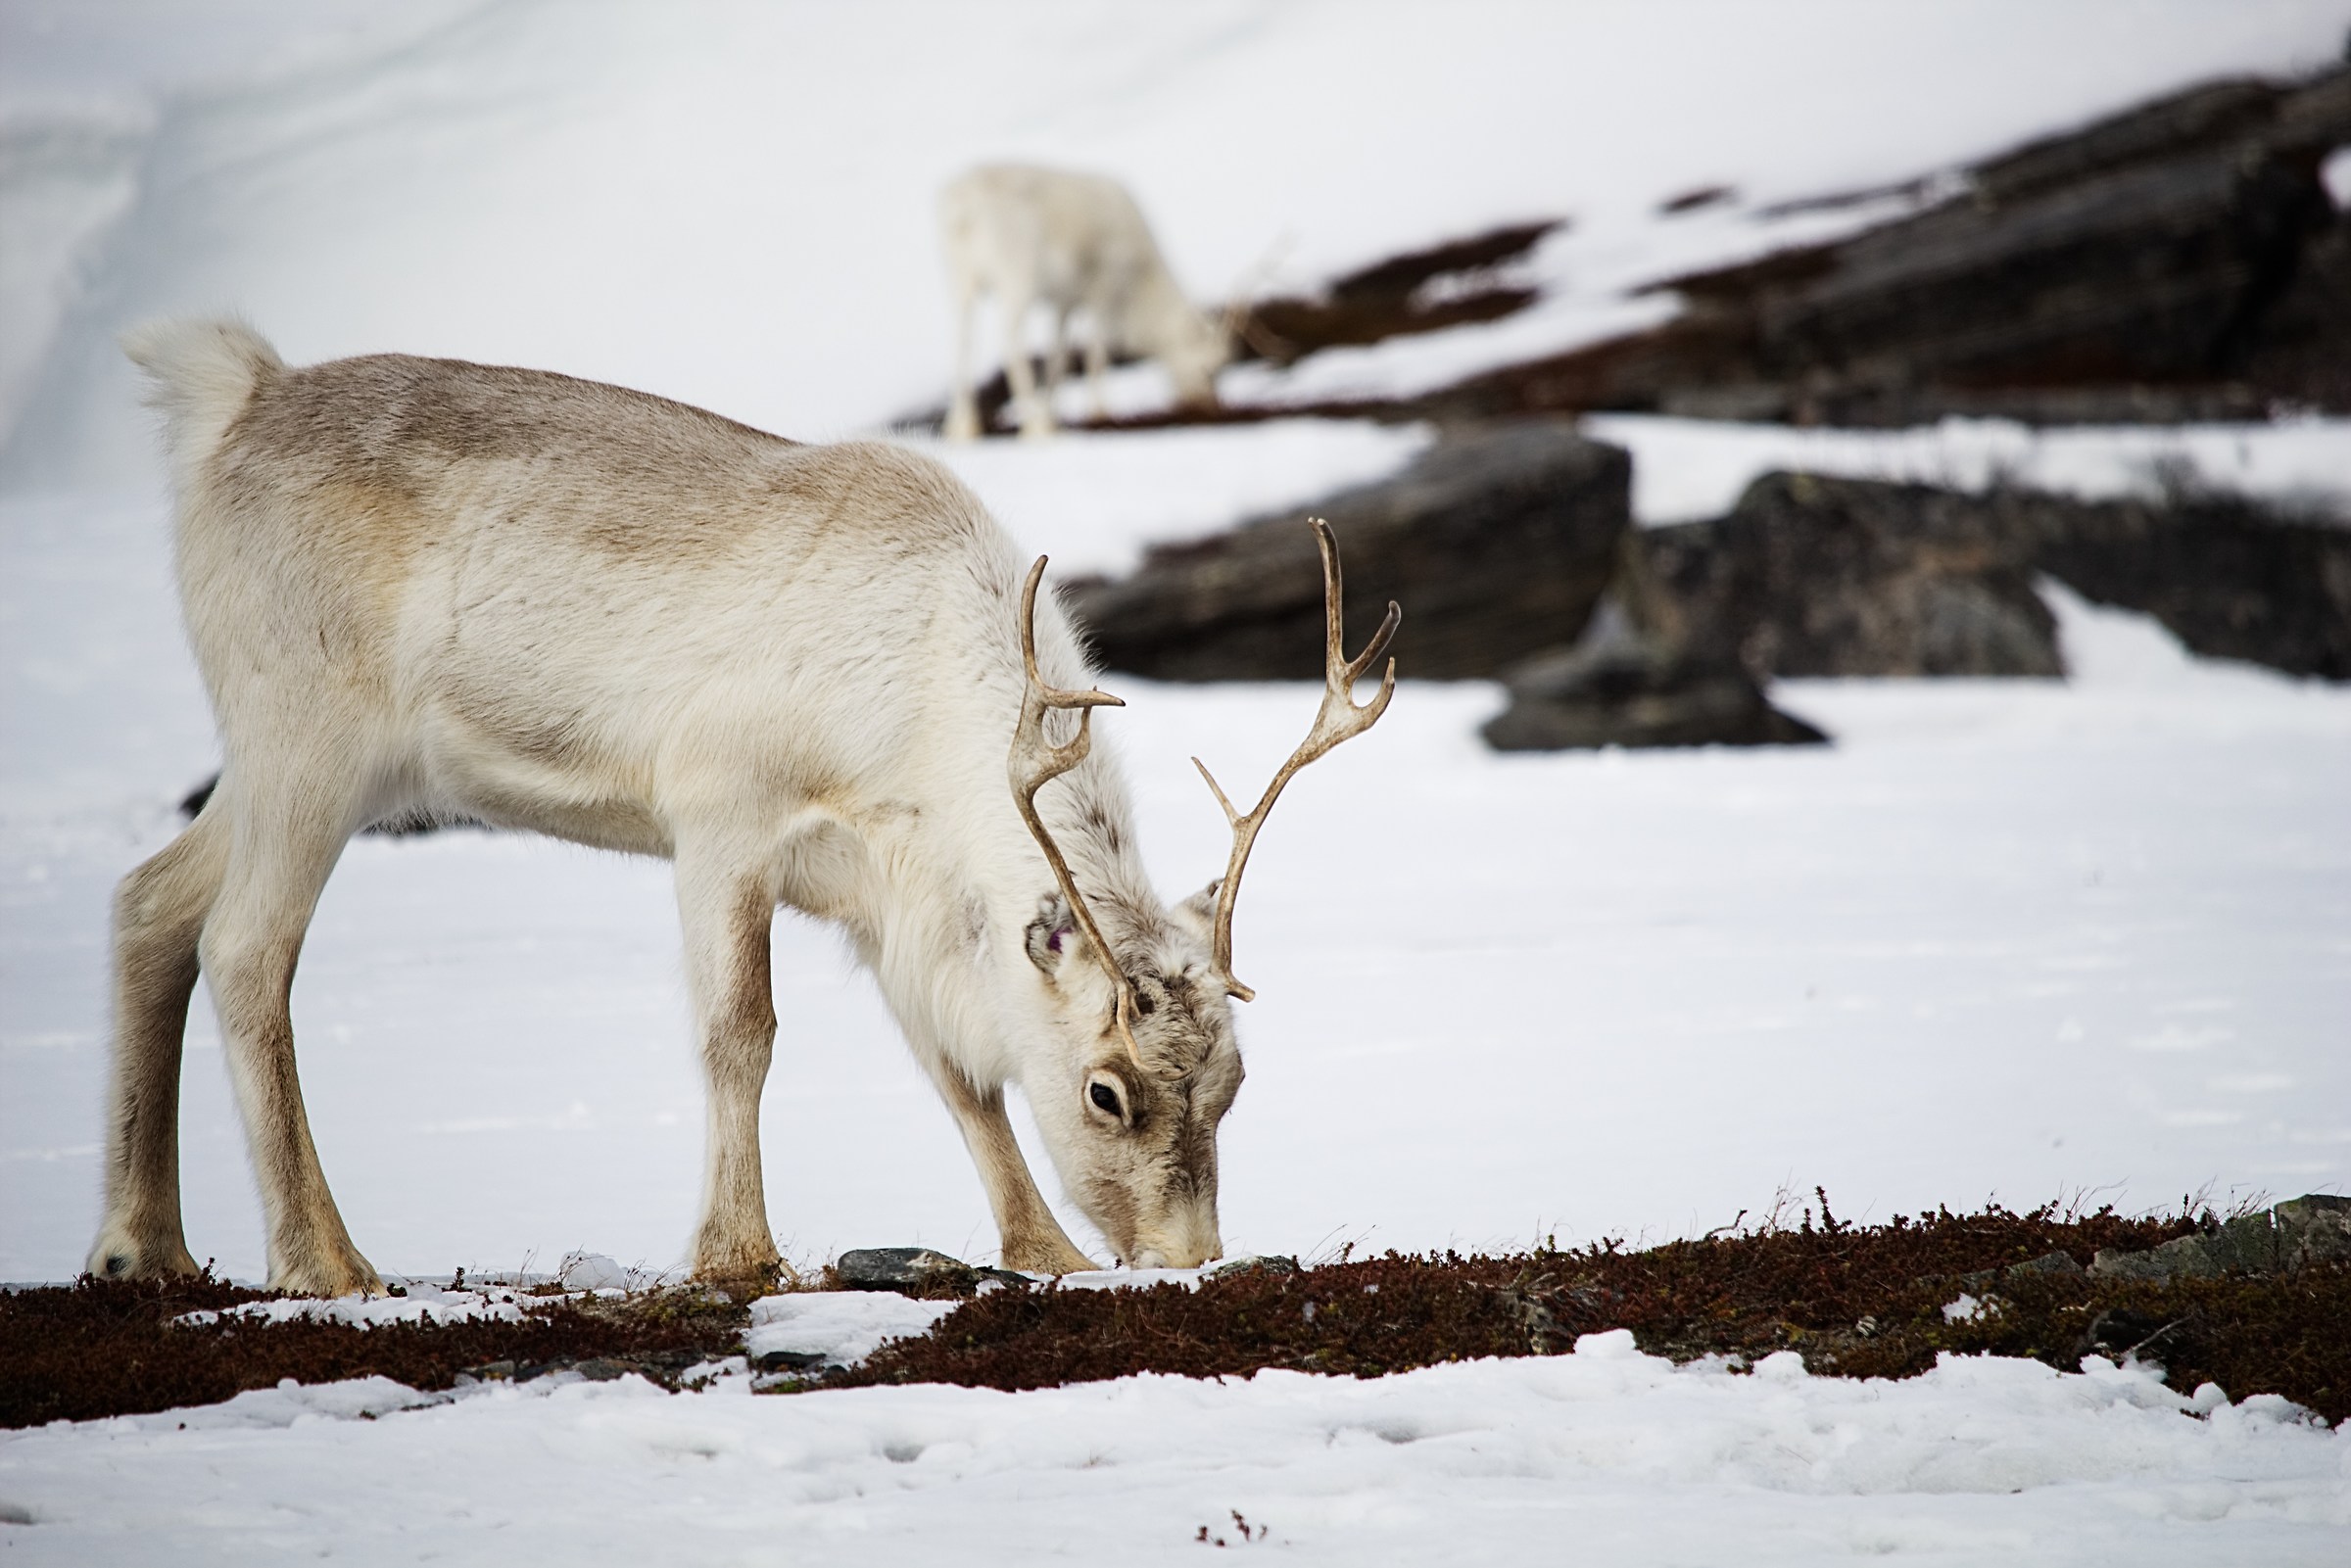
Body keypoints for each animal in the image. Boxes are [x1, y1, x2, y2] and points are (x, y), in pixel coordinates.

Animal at [91, 318, 1398, 1296]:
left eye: (1234, 1080)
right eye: (1107, 1091)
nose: (1189, 1259)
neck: (926, 692)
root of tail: (234, 397)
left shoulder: (888, 903)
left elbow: (956, 1073)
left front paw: (1044, 1250)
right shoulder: (721, 819)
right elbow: (742, 1032)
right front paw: (738, 1252)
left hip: (287, 763)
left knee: (152, 899)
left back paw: (142, 1247)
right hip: (307, 739)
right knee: (245, 948)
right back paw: (324, 1260)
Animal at [940, 163, 1237, 441]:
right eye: (1210, 370)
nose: (1210, 407)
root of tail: (964, 210)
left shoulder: (1066, 302)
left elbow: (1059, 359)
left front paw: (1054, 415)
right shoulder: (1101, 289)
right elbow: (1097, 355)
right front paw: (1099, 412)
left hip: (961, 283)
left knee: (963, 344)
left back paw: (963, 428)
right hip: (1017, 280)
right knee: (1010, 345)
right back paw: (1034, 427)